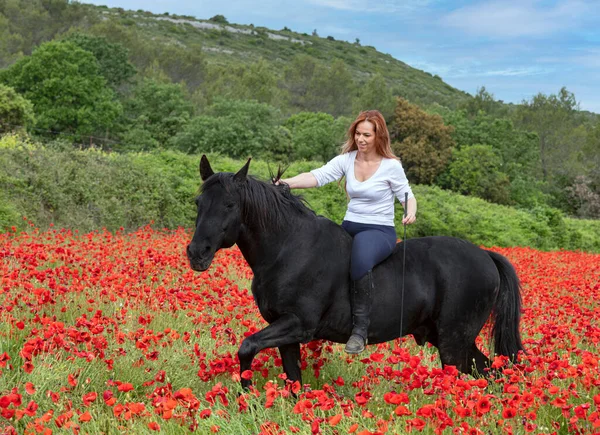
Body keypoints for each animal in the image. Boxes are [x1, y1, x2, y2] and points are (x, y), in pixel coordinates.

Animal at [188, 156, 520, 388]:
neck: (288, 249)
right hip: (452, 340)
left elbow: (247, 347)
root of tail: (485, 256)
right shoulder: (285, 330)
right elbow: (293, 378)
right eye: (199, 201)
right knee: (493, 372)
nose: (196, 253)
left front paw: (246, 394)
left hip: (454, 341)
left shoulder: (298, 324)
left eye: (230, 205)